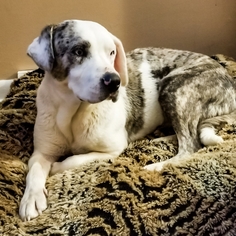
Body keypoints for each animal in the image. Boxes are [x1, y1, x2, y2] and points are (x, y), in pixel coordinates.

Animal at [19, 19, 236, 220]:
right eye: (78, 51)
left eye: (111, 53)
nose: (114, 81)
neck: (73, 111)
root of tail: (228, 79)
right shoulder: (42, 152)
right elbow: (34, 171)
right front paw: (31, 198)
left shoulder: (112, 150)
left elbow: (74, 160)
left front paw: (57, 167)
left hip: (173, 87)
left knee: (190, 145)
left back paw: (156, 166)